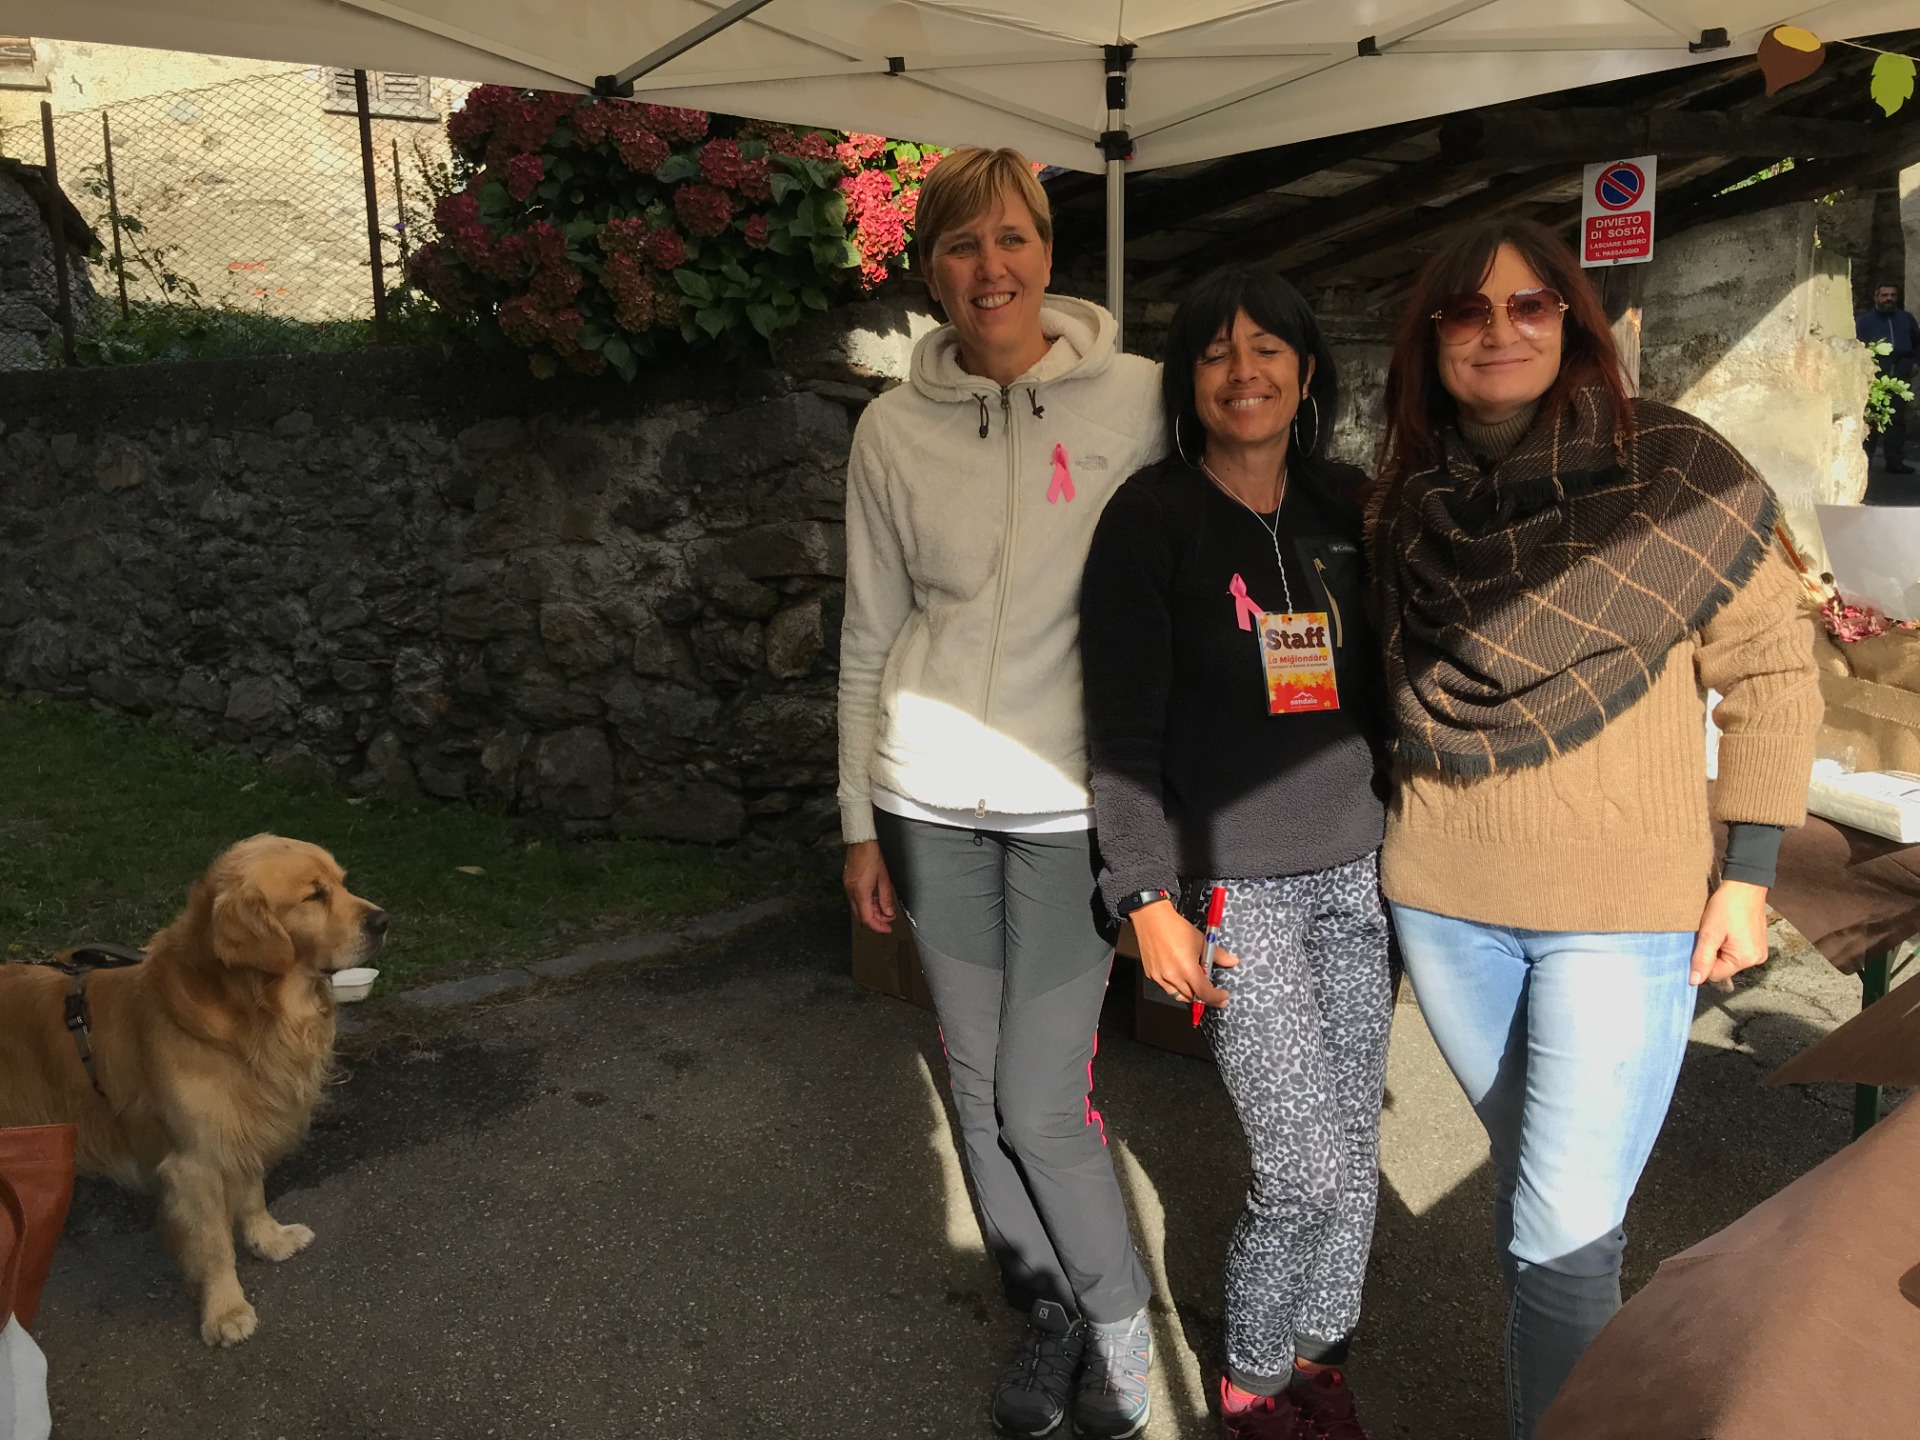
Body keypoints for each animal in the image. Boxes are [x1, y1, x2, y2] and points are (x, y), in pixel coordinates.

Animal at [0, 835, 386, 1346]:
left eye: (342, 883)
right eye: (314, 895)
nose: (384, 920)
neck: (250, 1013)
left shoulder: (241, 1122)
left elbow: (252, 1193)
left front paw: (269, 1239)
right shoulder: (194, 1162)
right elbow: (215, 1243)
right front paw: (225, 1310)